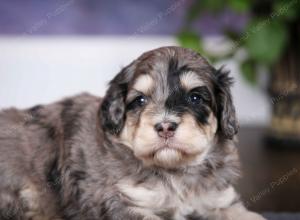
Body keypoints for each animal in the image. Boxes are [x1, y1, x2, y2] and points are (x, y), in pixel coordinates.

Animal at [0, 46, 264, 220]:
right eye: (140, 100)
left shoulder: (221, 200)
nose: (165, 126)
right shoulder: (121, 201)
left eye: (195, 98)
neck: (174, 172)